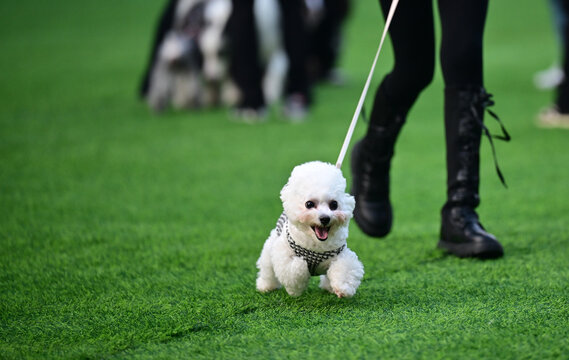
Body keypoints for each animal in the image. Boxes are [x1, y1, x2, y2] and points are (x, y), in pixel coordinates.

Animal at [254, 162, 362, 296]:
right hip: (270, 249)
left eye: (334, 204)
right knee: (267, 270)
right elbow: (297, 268)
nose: (325, 218)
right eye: (309, 204)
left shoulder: (341, 255)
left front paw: (343, 288)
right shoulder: (283, 255)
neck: (316, 245)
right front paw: (295, 290)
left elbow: (345, 269)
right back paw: (266, 286)